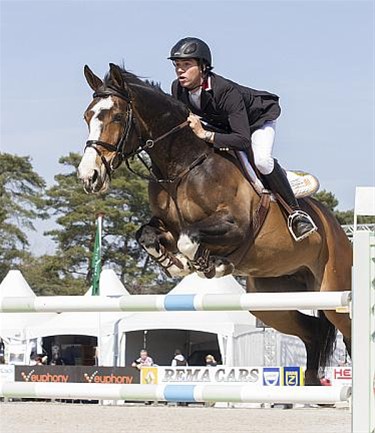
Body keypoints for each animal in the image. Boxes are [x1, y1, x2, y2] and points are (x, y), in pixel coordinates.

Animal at [78, 63, 354, 382]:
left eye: (118, 117)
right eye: (87, 116)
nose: (88, 177)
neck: (183, 165)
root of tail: (338, 229)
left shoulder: (235, 226)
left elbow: (189, 238)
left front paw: (209, 264)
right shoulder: (166, 225)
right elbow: (148, 235)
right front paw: (176, 263)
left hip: (334, 290)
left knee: (348, 332)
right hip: (272, 299)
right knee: (313, 332)